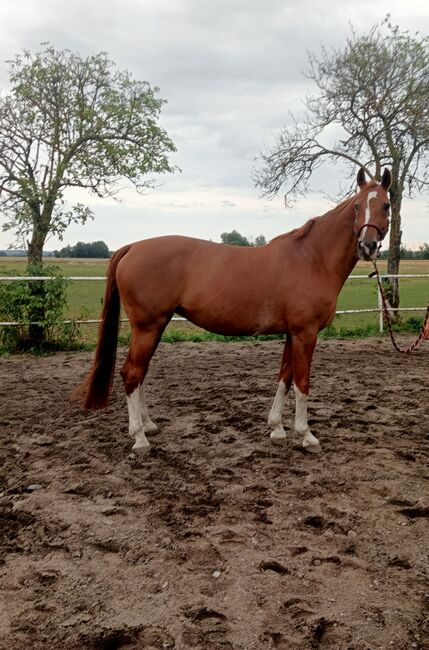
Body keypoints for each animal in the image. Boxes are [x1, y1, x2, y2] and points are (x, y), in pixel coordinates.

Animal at [79, 165, 392, 454]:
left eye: (386, 205)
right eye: (357, 206)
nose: (367, 245)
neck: (312, 259)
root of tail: (132, 247)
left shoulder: (292, 334)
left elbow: (285, 377)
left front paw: (277, 429)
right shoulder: (306, 334)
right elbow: (302, 382)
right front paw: (306, 435)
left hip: (156, 327)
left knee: (140, 372)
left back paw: (148, 425)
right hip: (147, 327)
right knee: (132, 373)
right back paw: (140, 438)